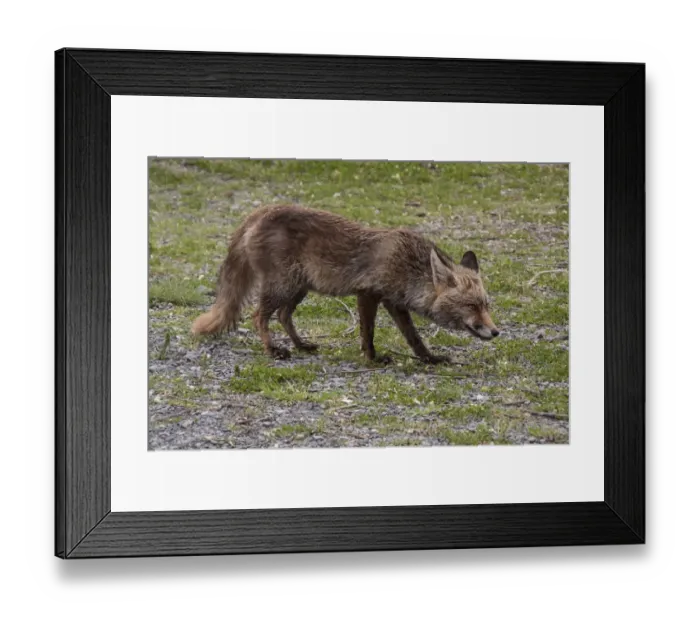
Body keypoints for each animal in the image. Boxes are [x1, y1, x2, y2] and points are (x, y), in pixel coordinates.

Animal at [192, 204, 499, 363]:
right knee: (259, 316)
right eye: (471, 306)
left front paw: (429, 358)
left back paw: (301, 345)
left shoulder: (394, 302)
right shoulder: (369, 294)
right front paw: (372, 358)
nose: (496, 332)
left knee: (283, 315)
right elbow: (368, 333)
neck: (407, 265)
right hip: (283, 286)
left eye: (485, 305)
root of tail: (261, 211)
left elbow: (413, 337)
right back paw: (272, 350)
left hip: (299, 289)